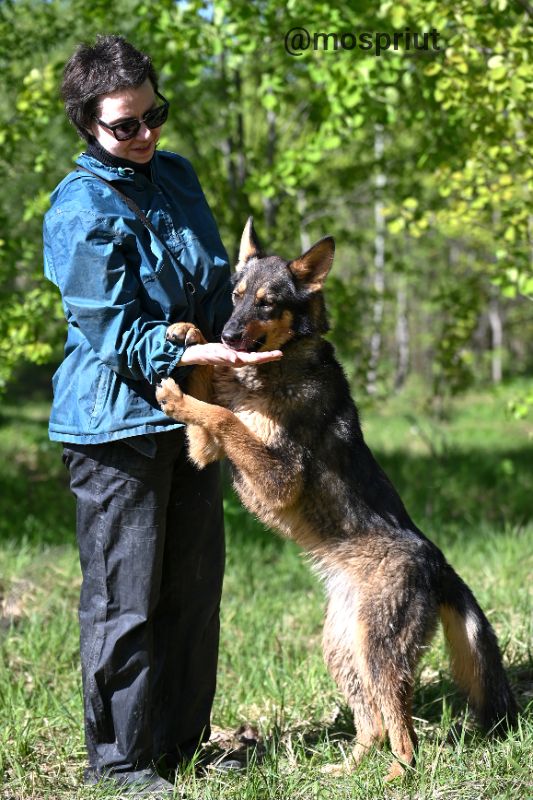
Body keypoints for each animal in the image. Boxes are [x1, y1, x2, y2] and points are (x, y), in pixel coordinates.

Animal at [154, 219, 516, 780]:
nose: (229, 335)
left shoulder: (277, 474)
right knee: (373, 727)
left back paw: (395, 777)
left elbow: (223, 415)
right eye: (236, 297)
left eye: (267, 303)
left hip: (382, 658)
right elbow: (209, 401)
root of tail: (438, 562)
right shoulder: (204, 451)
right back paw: (347, 772)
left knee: (405, 736)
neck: (279, 366)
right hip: (344, 653)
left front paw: (177, 390)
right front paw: (189, 336)